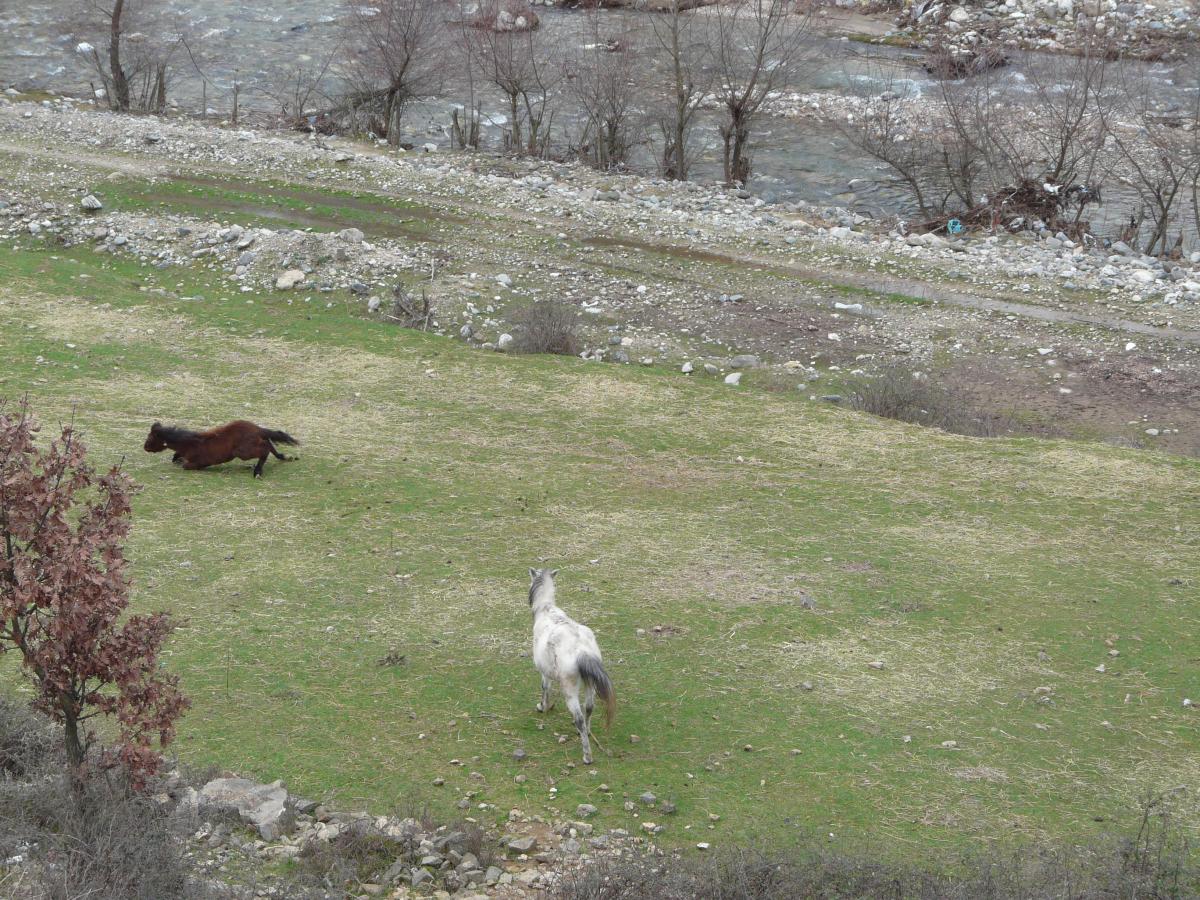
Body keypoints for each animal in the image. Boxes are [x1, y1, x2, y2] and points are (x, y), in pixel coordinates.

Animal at [143, 422, 300, 480]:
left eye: (150, 438)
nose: (145, 448)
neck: (190, 443)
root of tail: (257, 428)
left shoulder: (195, 461)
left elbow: (185, 465)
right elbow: (176, 458)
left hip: (242, 452)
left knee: (265, 448)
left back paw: (257, 472)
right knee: (268, 443)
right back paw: (284, 457)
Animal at [528, 566, 614, 763]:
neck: (547, 610)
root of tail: (582, 651)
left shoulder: (544, 672)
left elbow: (545, 688)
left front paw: (543, 707)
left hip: (570, 690)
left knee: (580, 717)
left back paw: (587, 755)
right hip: (589, 684)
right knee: (589, 707)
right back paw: (587, 733)